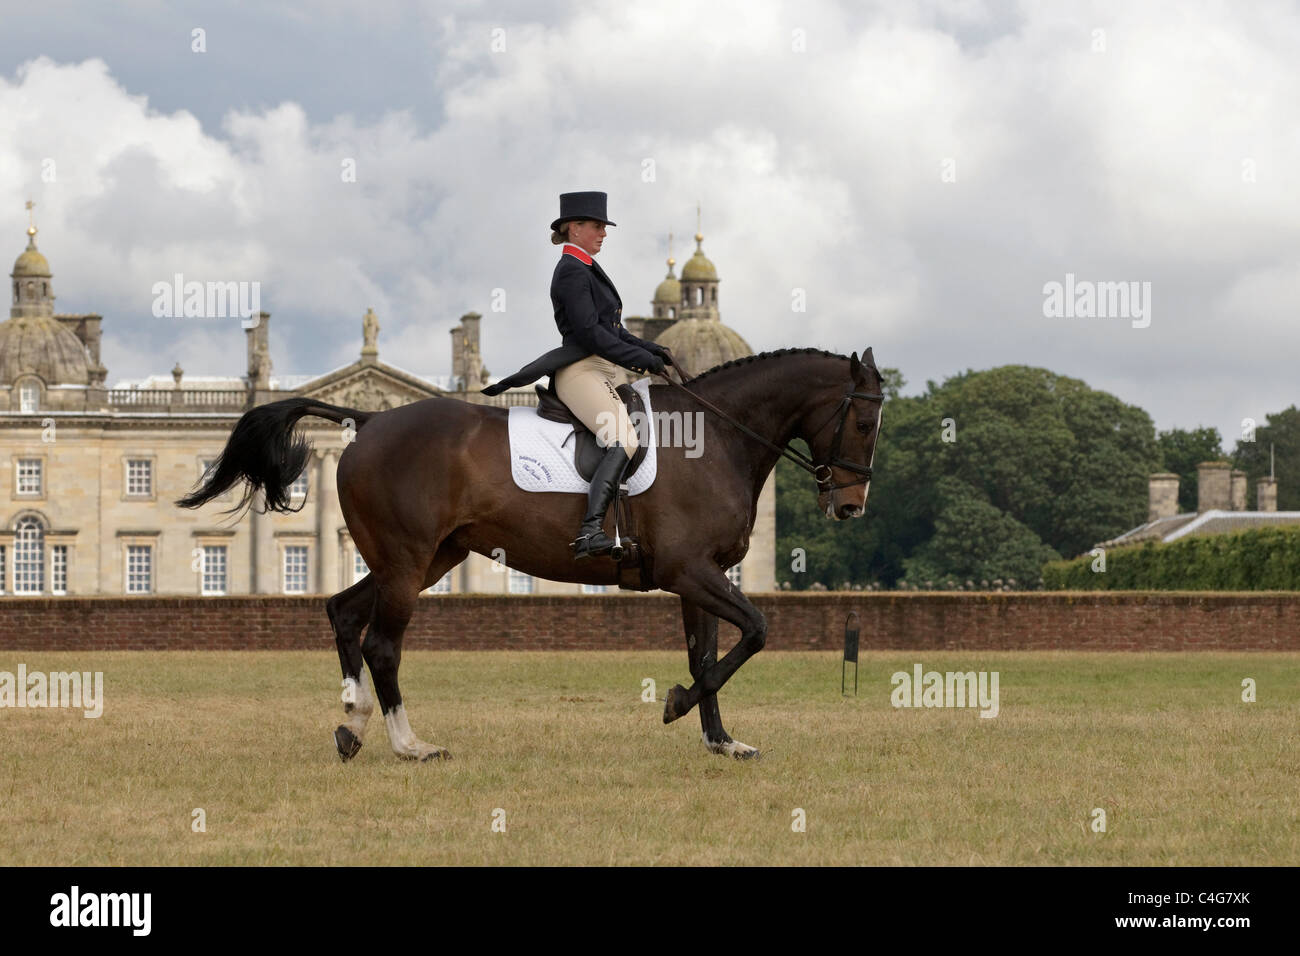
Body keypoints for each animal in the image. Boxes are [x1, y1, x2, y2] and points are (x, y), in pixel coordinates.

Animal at [176, 346, 885, 761]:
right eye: (862, 420)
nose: (851, 508)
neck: (714, 438)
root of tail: (369, 419)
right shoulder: (690, 569)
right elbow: (756, 631)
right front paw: (678, 705)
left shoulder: (698, 575)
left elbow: (708, 654)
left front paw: (719, 740)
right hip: (407, 562)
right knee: (382, 644)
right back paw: (410, 745)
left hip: (425, 559)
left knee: (345, 613)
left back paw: (353, 723)